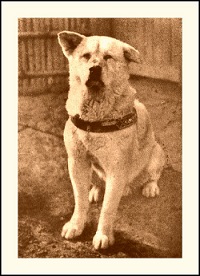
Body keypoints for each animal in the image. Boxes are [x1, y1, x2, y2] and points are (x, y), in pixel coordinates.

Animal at [57, 30, 165, 250]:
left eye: (108, 57)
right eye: (86, 56)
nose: (94, 69)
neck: (96, 118)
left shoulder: (117, 168)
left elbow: (107, 208)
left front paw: (103, 236)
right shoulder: (76, 162)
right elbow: (79, 199)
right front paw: (76, 225)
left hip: (157, 153)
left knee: (152, 175)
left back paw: (149, 187)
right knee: (99, 183)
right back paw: (96, 190)